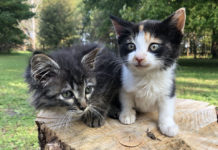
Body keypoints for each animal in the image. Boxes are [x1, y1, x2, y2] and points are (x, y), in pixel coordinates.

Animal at [110, 8, 186, 137]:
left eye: (154, 46)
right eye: (131, 46)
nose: (139, 58)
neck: (147, 75)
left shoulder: (169, 86)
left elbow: (166, 106)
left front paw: (168, 125)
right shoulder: (124, 83)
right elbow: (126, 99)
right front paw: (127, 114)